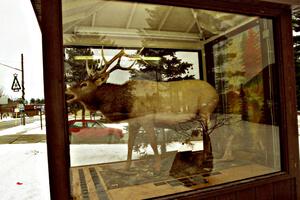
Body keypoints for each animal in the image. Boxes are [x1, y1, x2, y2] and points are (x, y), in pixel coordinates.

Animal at [66, 48, 218, 172]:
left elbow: (153, 143)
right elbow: (129, 145)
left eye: (84, 84)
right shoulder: (133, 122)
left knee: (208, 136)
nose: (67, 90)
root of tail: (215, 92)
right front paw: (126, 168)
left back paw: (207, 161)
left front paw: (157, 168)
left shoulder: (146, 119)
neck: (125, 104)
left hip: (205, 111)